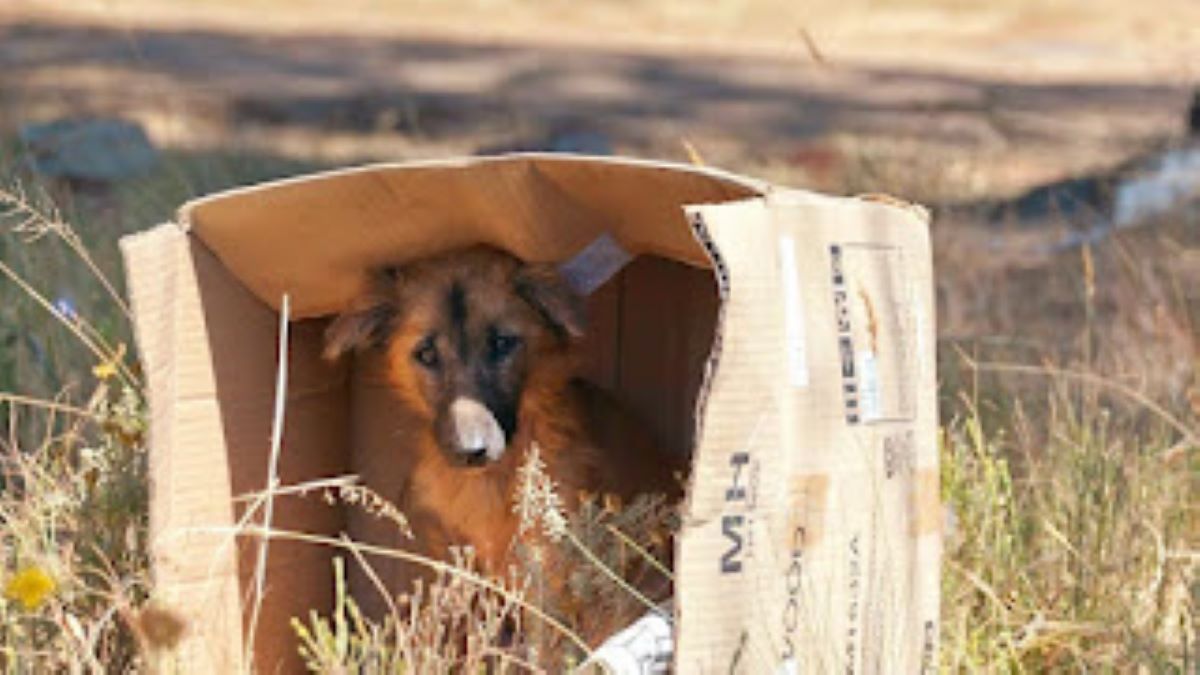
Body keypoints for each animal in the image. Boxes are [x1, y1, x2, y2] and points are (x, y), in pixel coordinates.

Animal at [324, 247, 686, 614]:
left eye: (502, 343)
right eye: (426, 353)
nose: (471, 452)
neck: (490, 480)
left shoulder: (545, 568)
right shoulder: (459, 560)